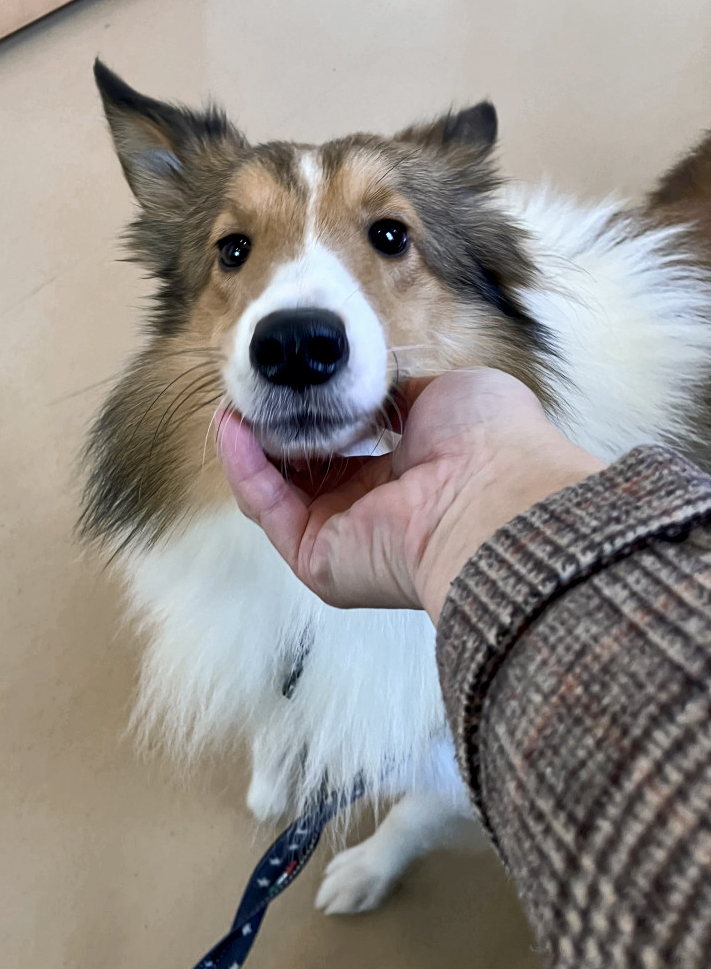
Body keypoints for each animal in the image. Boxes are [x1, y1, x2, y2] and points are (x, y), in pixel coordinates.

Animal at [81, 59, 711, 915]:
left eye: (390, 234)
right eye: (233, 249)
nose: (296, 345)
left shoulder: (443, 737)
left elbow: (417, 805)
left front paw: (363, 869)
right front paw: (274, 773)